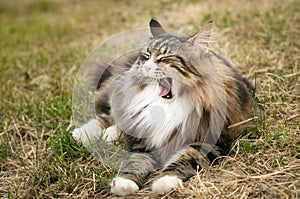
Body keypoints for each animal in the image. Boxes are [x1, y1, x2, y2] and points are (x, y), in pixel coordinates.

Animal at [71, 18, 258, 196]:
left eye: (164, 58)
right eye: (146, 56)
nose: (146, 67)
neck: (172, 104)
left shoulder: (207, 142)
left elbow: (184, 159)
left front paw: (164, 181)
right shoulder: (143, 141)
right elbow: (135, 161)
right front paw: (124, 183)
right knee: (108, 117)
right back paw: (83, 134)